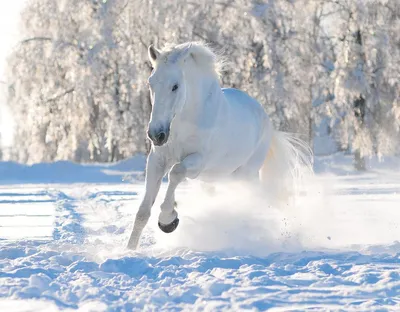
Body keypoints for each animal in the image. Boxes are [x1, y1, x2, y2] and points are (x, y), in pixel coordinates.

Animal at [128, 41, 312, 250]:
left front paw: (168, 220)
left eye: (175, 86)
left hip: (245, 175)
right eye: (150, 83)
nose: (156, 134)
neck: (186, 121)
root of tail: (267, 121)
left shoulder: (198, 162)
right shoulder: (157, 161)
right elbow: (143, 212)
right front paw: (129, 249)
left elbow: (175, 173)